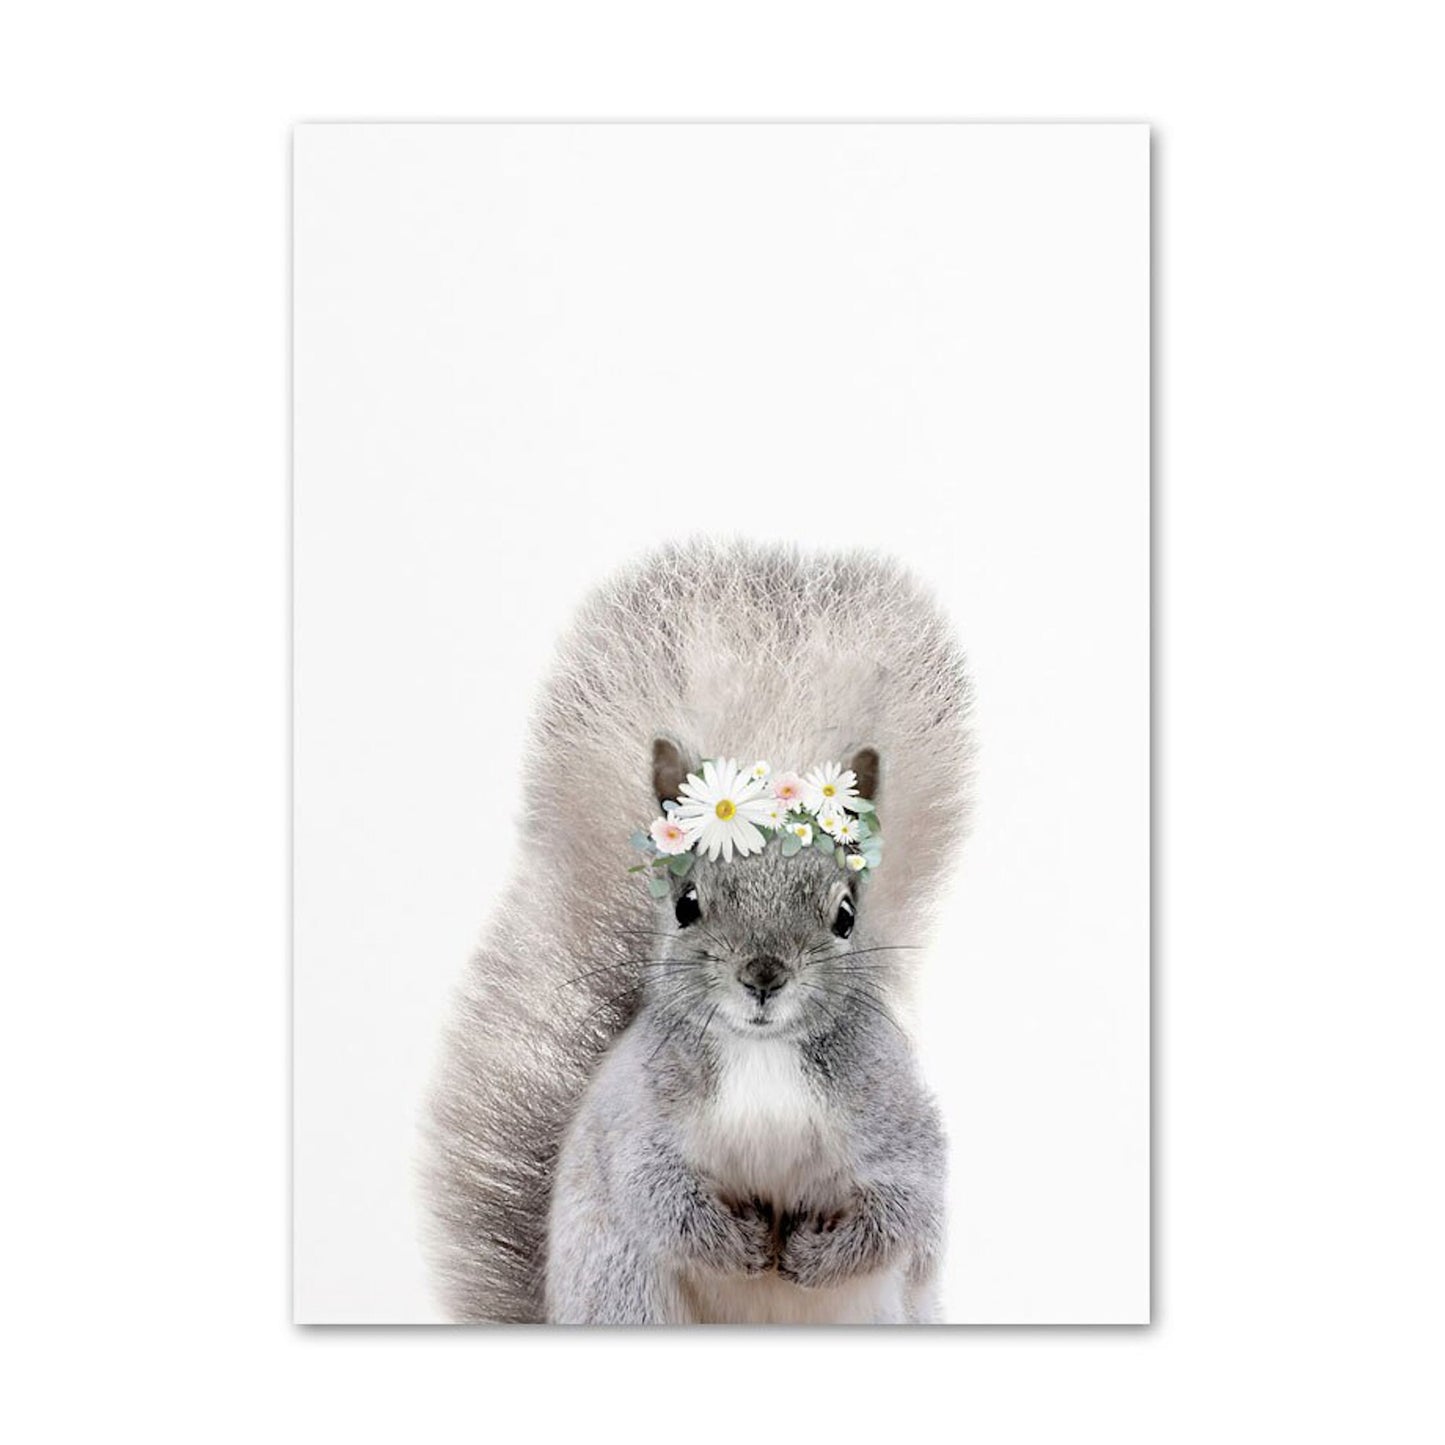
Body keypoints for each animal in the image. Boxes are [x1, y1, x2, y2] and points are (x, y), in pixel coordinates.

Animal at [423, 539, 975, 1323]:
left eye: (844, 914)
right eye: (686, 902)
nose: (763, 976)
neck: (762, 1054)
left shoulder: (895, 1118)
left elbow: (904, 1207)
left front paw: (807, 1255)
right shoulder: (634, 1118)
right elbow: (656, 1194)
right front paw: (745, 1247)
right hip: (625, 1293)